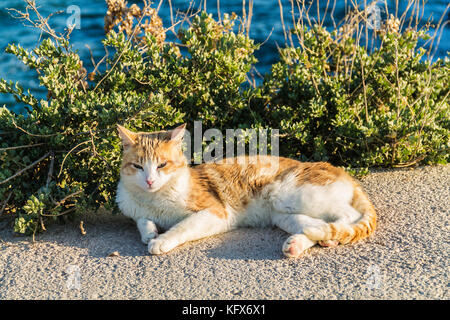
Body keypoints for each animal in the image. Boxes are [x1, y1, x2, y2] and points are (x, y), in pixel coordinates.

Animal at [116, 123, 376, 258]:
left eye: (162, 165)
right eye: (138, 166)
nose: (150, 181)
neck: (153, 199)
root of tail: (343, 173)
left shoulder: (214, 213)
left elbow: (181, 228)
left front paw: (160, 241)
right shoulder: (134, 209)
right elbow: (142, 220)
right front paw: (150, 232)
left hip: (289, 194)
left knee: (348, 217)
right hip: (284, 215)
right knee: (318, 226)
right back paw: (302, 243)